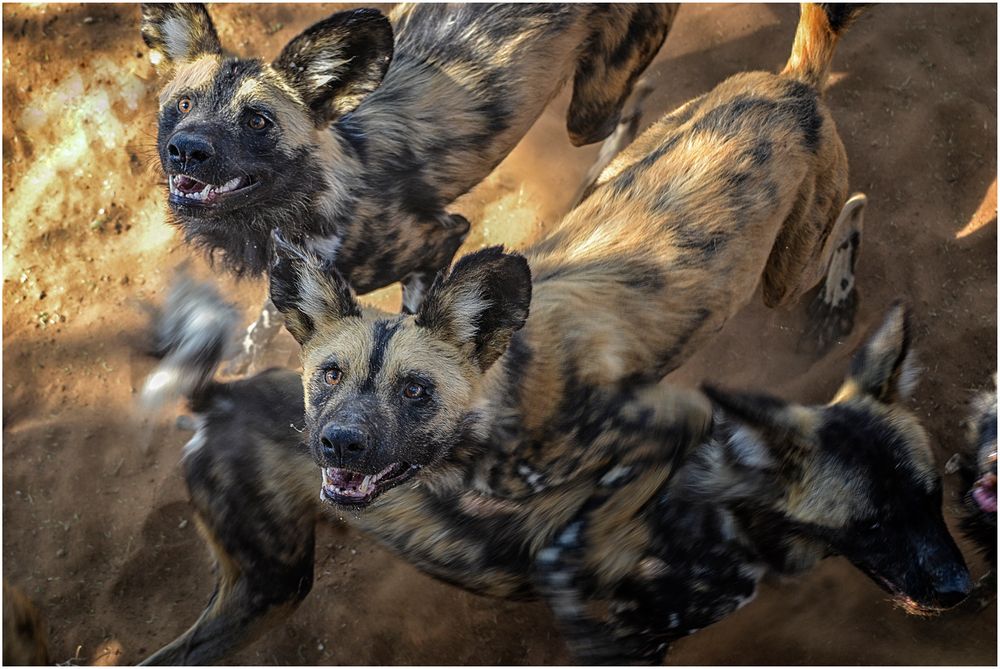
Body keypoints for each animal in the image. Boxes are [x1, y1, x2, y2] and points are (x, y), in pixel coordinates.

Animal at [139, 2, 680, 370]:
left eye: (256, 121)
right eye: (184, 104)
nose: (187, 150)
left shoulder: (443, 237)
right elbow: (269, 318)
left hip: (587, 114)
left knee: (637, 99)